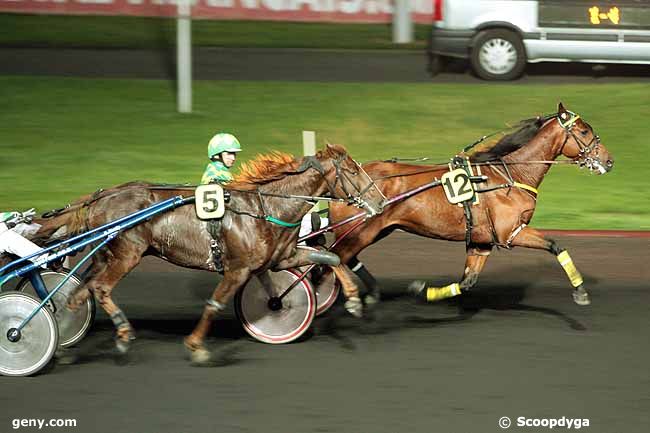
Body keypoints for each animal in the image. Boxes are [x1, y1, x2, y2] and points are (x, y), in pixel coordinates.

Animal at [31, 144, 384, 362]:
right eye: (354, 171)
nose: (380, 201)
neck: (266, 206)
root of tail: (99, 197)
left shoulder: (280, 258)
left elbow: (330, 258)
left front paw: (353, 300)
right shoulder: (237, 269)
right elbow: (215, 303)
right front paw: (196, 346)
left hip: (106, 256)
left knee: (79, 293)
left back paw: (64, 340)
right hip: (127, 254)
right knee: (101, 288)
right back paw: (120, 333)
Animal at [330, 104, 612, 314]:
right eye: (584, 131)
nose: (609, 160)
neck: (511, 174)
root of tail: (342, 183)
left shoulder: (481, 242)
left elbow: (467, 281)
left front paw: (423, 291)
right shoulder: (511, 233)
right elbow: (556, 246)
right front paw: (580, 291)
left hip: (375, 231)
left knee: (343, 259)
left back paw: (371, 294)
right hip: (361, 231)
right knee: (333, 257)